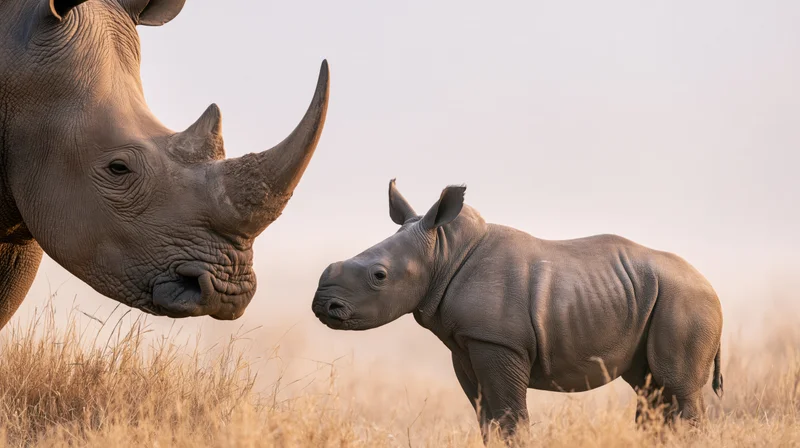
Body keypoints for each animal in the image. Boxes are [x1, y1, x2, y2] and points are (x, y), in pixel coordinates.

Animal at [312, 180, 724, 441]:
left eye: (379, 276)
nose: (322, 306)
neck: (443, 253)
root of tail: (713, 288)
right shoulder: (468, 343)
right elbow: (487, 418)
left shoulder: (499, 341)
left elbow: (509, 416)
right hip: (652, 299)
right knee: (652, 391)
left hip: (685, 302)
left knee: (678, 388)